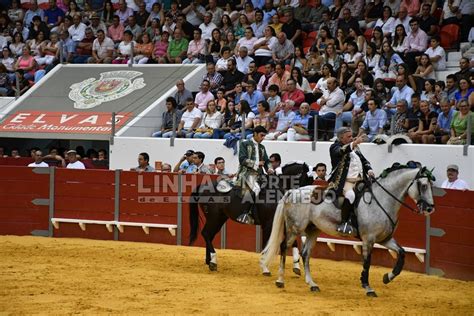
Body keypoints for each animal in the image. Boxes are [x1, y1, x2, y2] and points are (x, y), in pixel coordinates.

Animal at [262, 164, 436, 298]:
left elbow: (402, 253)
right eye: (423, 185)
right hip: (295, 228)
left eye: (431, 186)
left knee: (306, 254)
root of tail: (293, 191)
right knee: (284, 247)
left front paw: (387, 277)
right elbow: (367, 262)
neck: (382, 200)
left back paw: (312, 284)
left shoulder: (385, 239)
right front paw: (368, 287)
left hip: (313, 230)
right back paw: (280, 280)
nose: (430, 208)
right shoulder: (368, 239)